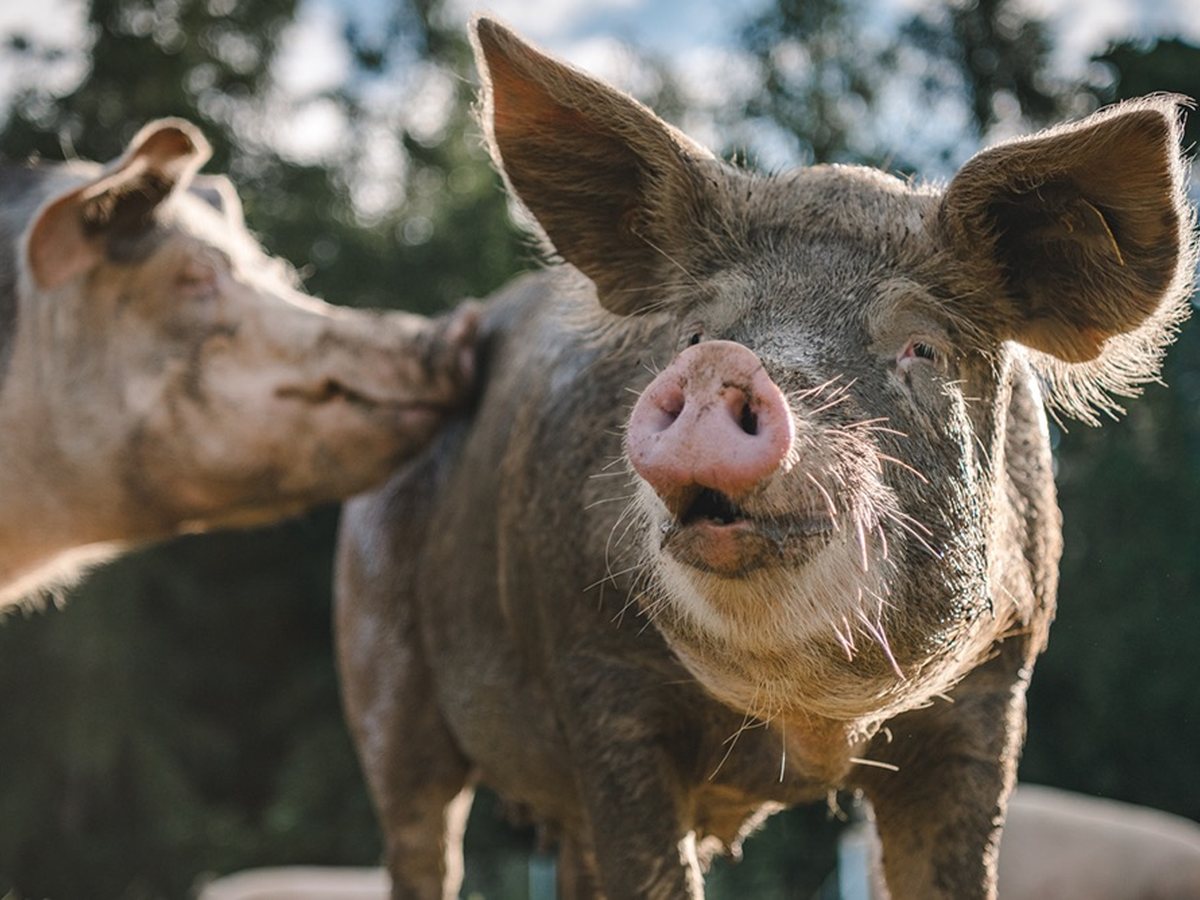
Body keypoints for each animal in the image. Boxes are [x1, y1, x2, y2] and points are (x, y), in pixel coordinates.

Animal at [334, 18, 1197, 900]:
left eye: (923, 347)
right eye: (693, 334)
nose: (722, 365)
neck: (811, 722)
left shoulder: (993, 689)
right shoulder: (599, 674)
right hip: (378, 667)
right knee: (420, 827)